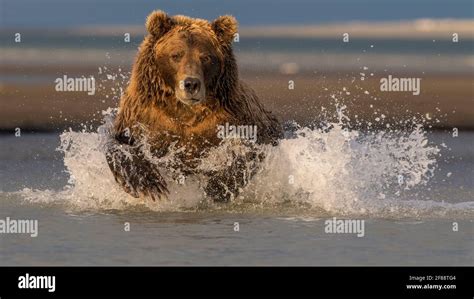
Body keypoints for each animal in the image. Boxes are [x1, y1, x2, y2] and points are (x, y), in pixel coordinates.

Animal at [105, 10, 282, 203]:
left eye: (205, 57)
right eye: (176, 55)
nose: (191, 84)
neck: (184, 110)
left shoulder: (232, 117)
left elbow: (250, 149)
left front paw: (217, 186)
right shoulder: (143, 116)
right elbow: (118, 143)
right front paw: (149, 184)